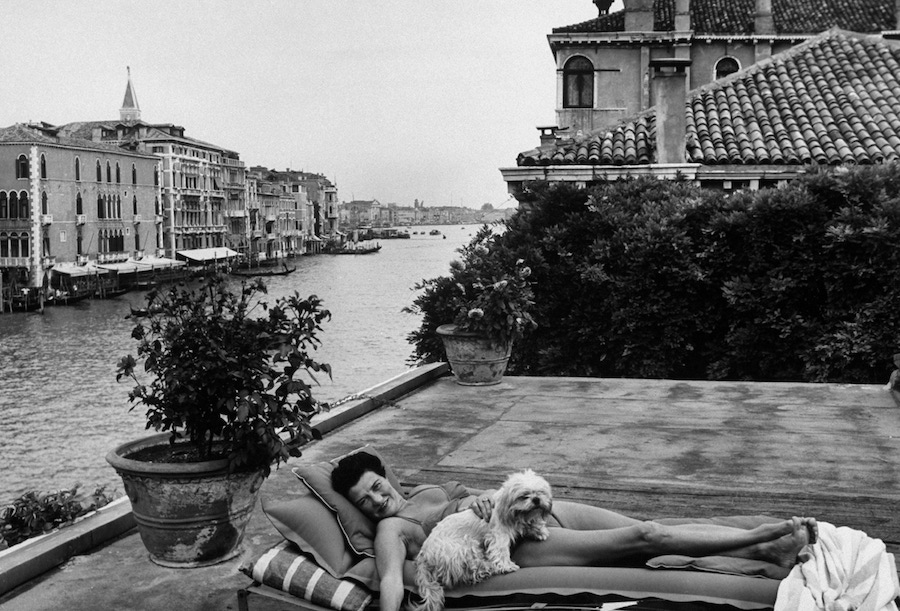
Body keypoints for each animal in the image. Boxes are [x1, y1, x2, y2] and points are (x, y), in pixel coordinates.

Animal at [414, 470, 552, 611]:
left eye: (540, 492)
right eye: (524, 496)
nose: (536, 499)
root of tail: (423, 555)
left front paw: (539, 530)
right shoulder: (499, 535)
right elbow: (501, 551)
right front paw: (507, 566)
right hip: (465, 547)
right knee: (472, 570)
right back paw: (487, 566)